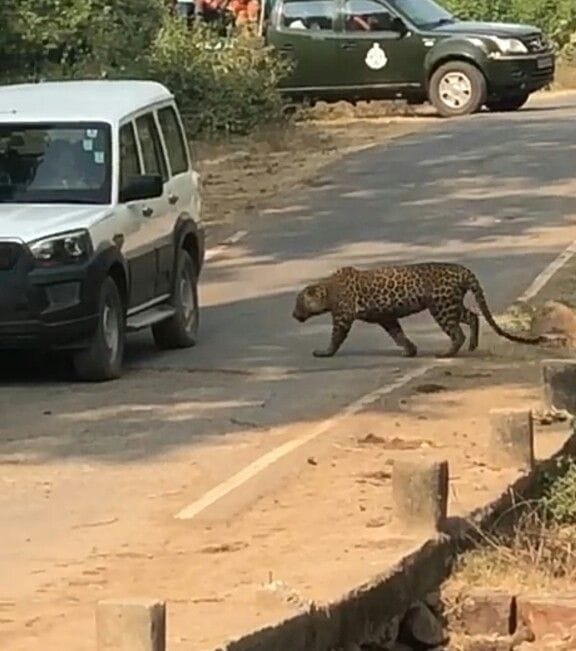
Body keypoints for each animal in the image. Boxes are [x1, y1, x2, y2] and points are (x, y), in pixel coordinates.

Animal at [292, 262, 543, 358]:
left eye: (298, 303)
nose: (293, 315)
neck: (327, 291)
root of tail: (463, 269)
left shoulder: (342, 317)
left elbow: (335, 337)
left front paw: (324, 352)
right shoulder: (386, 317)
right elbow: (398, 334)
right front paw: (410, 350)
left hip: (441, 307)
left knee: (457, 332)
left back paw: (446, 353)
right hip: (452, 305)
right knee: (473, 316)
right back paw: (472, 346)